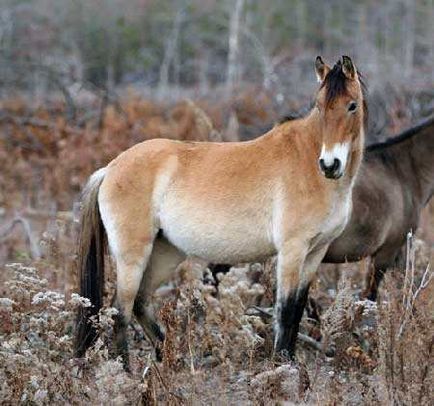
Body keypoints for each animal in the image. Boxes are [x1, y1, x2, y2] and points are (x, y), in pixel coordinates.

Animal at [74, 56, 366, 364]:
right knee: (121, 312)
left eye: (352, 105)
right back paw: (127, 369)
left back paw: (171, 359)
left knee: (140, 303)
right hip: (133, 256)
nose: (330, 165)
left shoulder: (315, 252)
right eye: (320, 106)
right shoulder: (292, 250)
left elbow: (297, 311)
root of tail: (110, 168)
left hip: (165, 252)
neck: (307, 161)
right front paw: (282, 366)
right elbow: (285, 312)